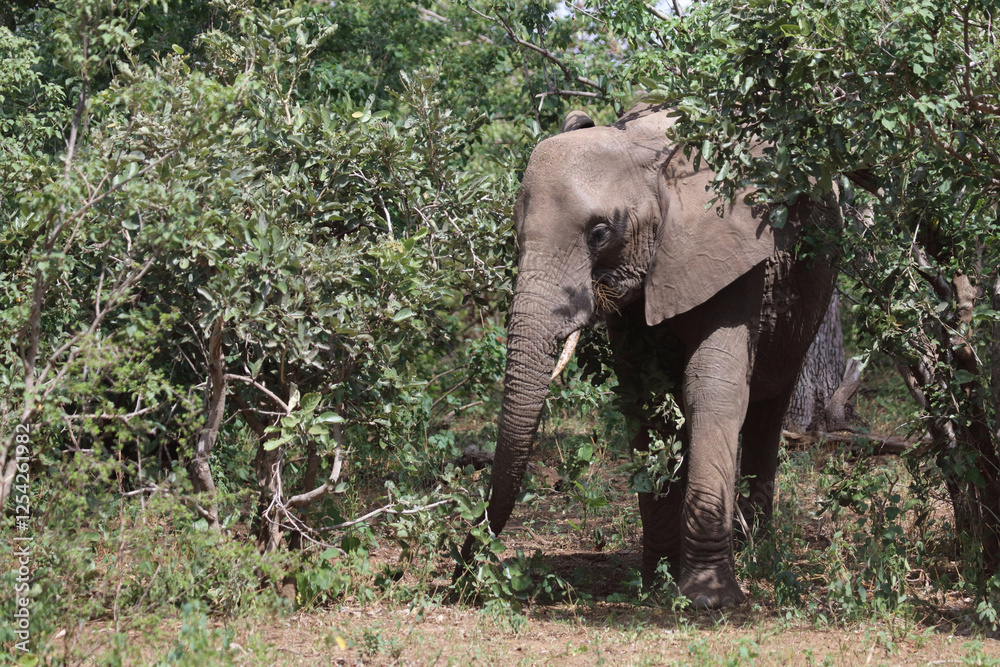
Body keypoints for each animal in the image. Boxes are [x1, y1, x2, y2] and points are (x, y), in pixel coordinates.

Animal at [459, 102, 841, 609]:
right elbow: (644, 400)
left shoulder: (732, 251)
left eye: (600, 233)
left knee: (768, 405)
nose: (462, 573)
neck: (645, 153)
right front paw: (657, 583)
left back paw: (754, 550)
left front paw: (708, 599)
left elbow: (712, 388)